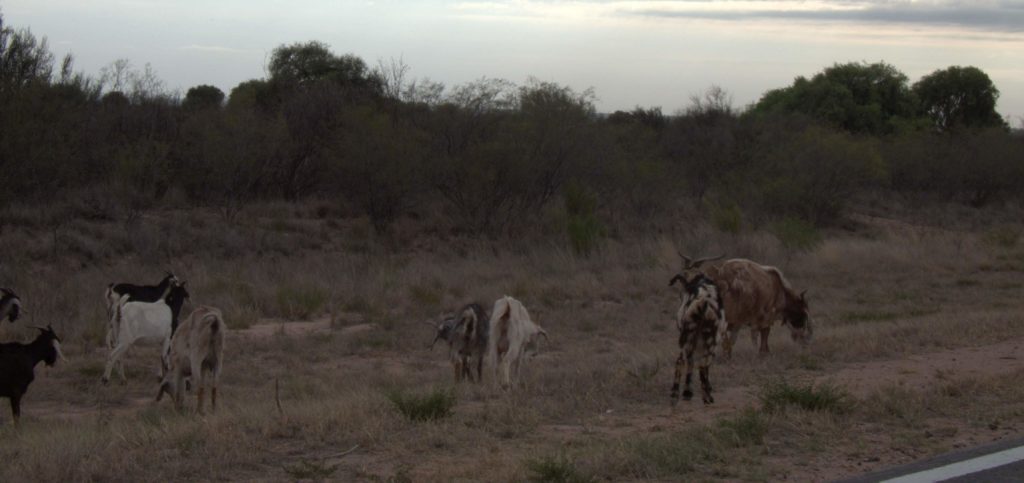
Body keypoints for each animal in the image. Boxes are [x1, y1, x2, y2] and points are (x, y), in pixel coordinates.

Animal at [671, 274, 729, 405]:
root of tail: (703, 299)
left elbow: (690, 363)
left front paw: (687, 392)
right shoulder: (713, 345)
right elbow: (706, 370)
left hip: (686, 339)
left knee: (680, 362)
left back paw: (675, 394)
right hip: (710, 343)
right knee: (702, 367)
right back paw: (707, 397)